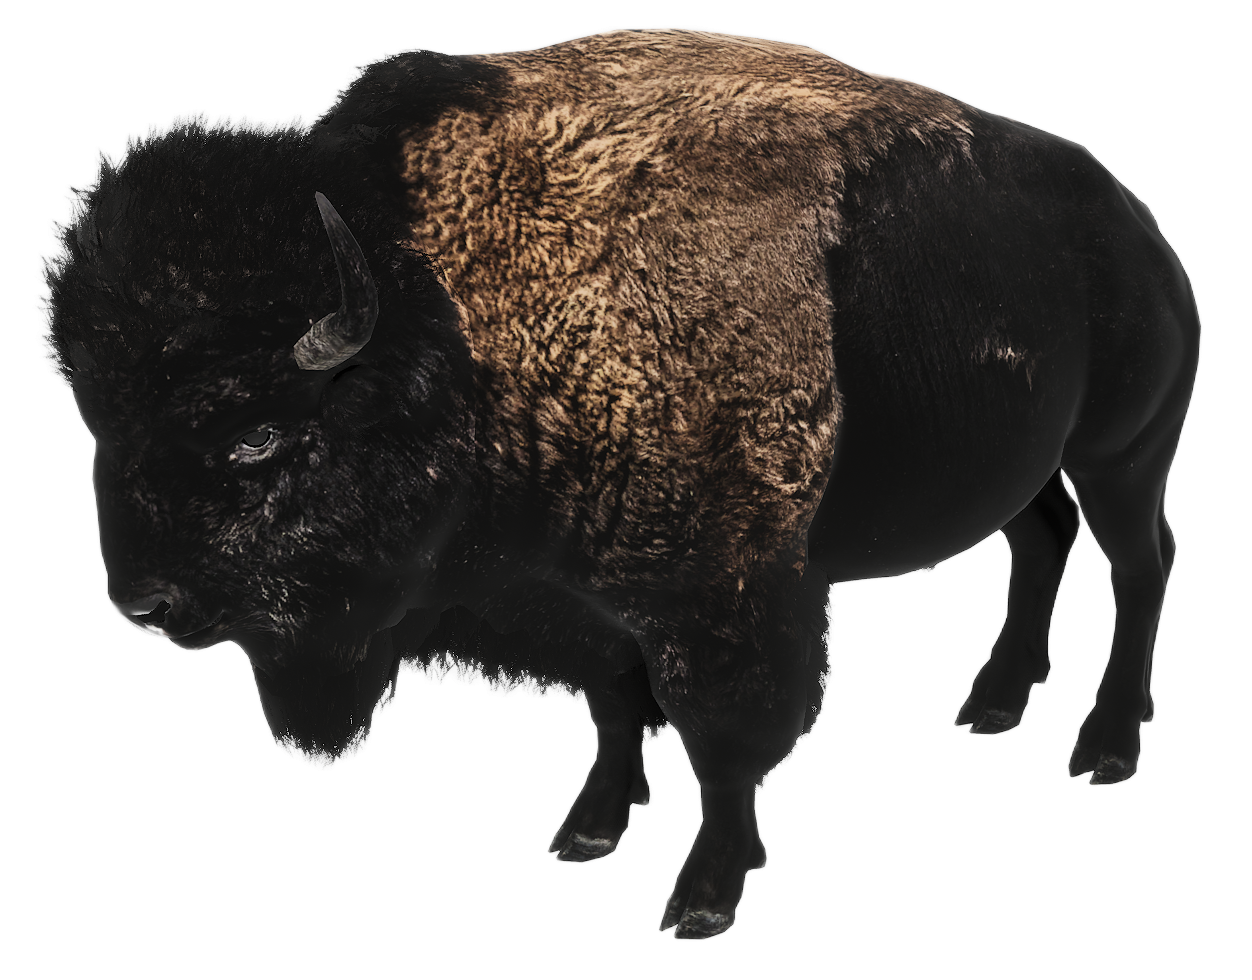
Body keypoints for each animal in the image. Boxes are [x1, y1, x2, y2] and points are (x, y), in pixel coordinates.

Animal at [33, 28, 1201, 940]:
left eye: (258, 436)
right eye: (98, 426)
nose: (144, 605)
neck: (454, 310)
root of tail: (1137, 228)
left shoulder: (722, 593)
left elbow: (719, 739)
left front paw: (705, 895)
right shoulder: (575, 596)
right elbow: (611, 704)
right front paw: (589, 828)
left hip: (1124, 456)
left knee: (1141, 564)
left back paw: (1103, 747)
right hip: (1033, 467)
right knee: (1039, 543)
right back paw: (993, 703)